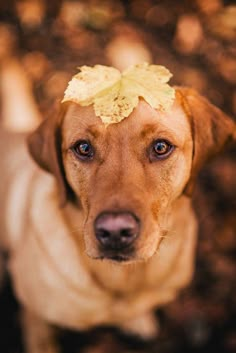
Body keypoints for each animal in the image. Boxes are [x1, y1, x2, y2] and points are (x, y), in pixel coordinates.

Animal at [0, 86, 234, 350]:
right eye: (83, 148)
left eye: (161, 147)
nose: (115, 231)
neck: (123, 282)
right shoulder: (36, 318)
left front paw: (138, 321)